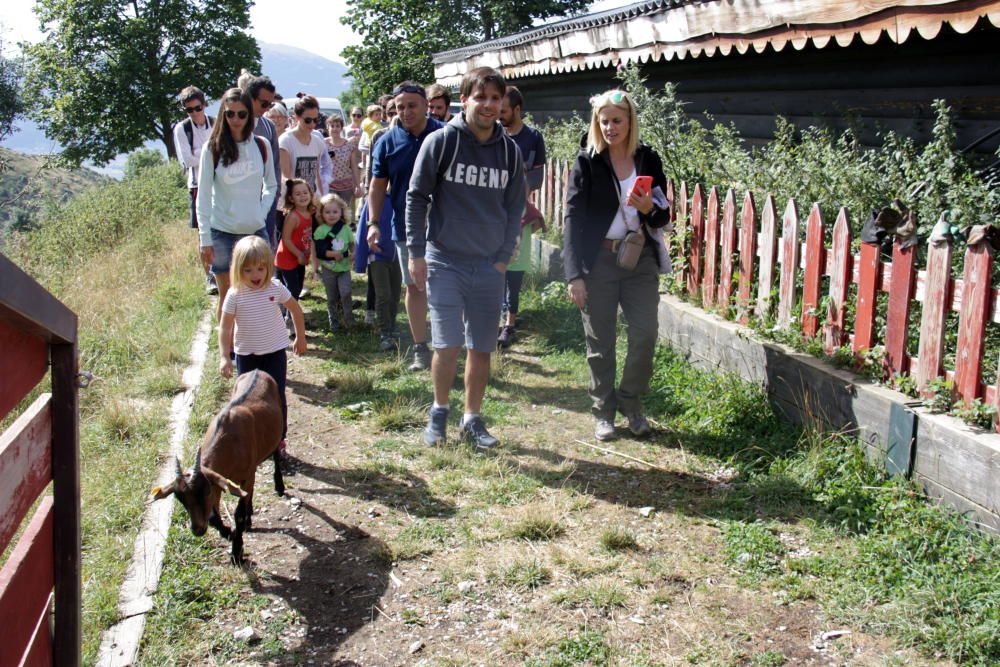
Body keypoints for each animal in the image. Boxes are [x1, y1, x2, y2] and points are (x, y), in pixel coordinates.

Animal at [151, 370, 286, 564]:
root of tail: (258, 370)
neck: (230, 441)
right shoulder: (220, 483)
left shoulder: (245, 476)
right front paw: (228, 532)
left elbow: (238, 513)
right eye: (180, 498)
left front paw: (236, 552)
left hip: (277, 435)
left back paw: (279, 486)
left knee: (275, 456)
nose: (197, 530)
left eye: (205, 492)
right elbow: (214, 515)